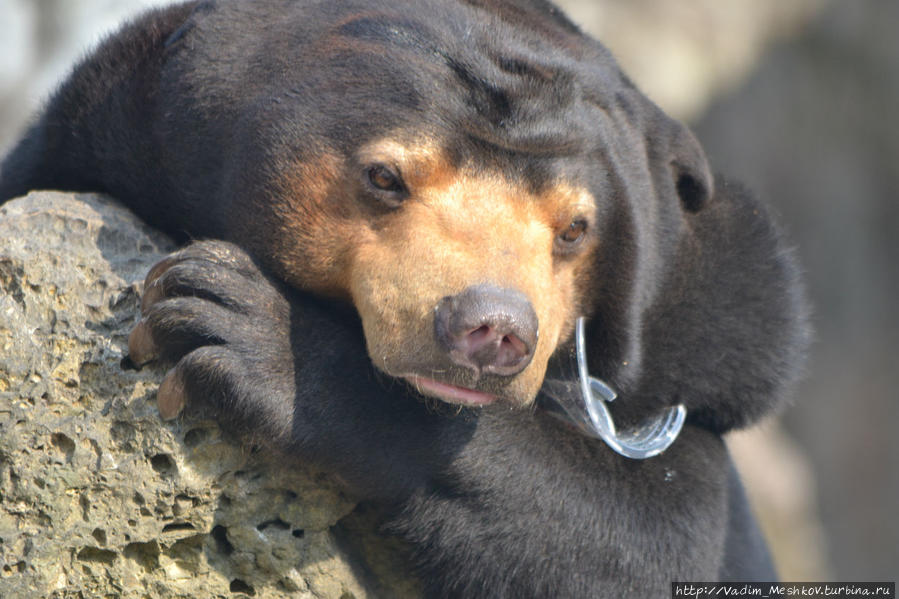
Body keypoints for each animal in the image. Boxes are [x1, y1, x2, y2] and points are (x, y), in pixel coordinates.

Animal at [0, 1, 808, 596]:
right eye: (385, 177)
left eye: (577, 228)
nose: (494, 329)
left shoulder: (710, 350)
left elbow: (648, 534)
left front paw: (235, 325)